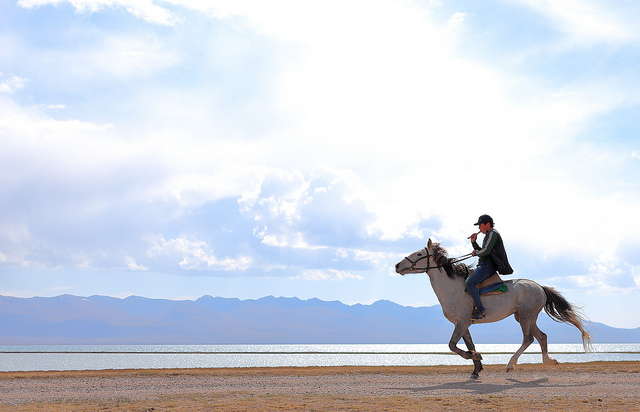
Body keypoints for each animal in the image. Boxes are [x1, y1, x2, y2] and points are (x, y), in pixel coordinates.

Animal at [398, 238, 592, 380]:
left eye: (419, 253)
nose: (397, 266)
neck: (452, 287)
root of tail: (540, 287)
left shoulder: (461, 322)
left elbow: (452, 345)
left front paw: (476, 357)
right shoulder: (464, 324)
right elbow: (469, 344)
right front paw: (476, 368)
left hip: (525, 316)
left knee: (528, 338)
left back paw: (510, 365)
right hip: (526, 317)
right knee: (541, 336)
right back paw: (548, 361)